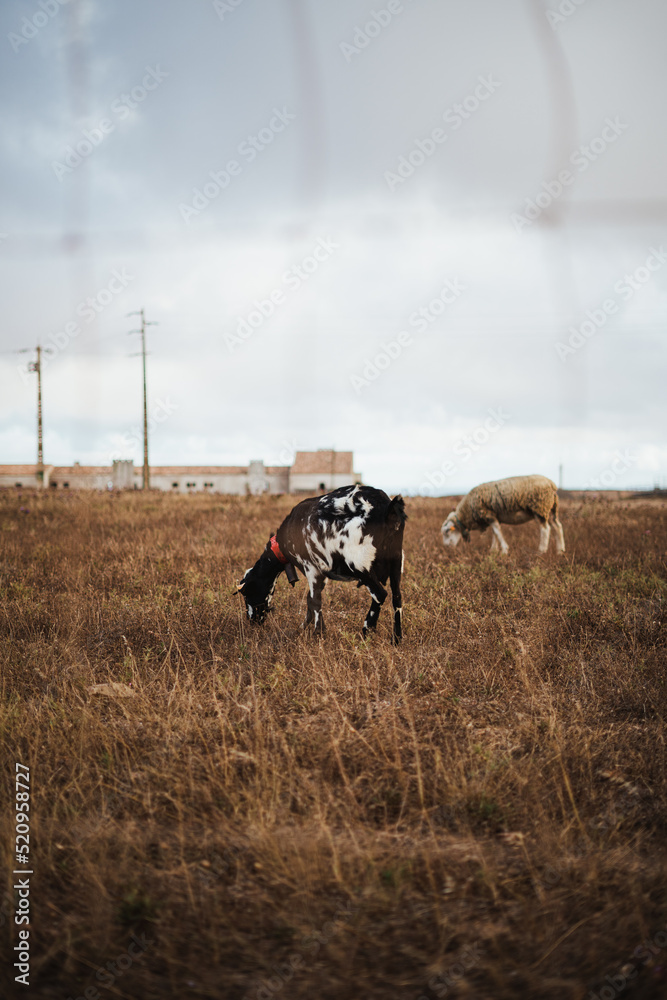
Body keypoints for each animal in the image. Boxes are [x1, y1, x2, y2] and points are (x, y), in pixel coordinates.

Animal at [237, 484, 407, 641]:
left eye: (246, 592)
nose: (252, 621)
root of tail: (386, 508)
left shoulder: (311, 567)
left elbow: (315, 600)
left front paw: (318, 633)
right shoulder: (321, 571)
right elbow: (310, 599)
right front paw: (304, 627)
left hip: (360, 565)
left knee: (380, 594)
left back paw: (366, 631)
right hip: (396, 562)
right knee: (397, 598)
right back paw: (396, 638)